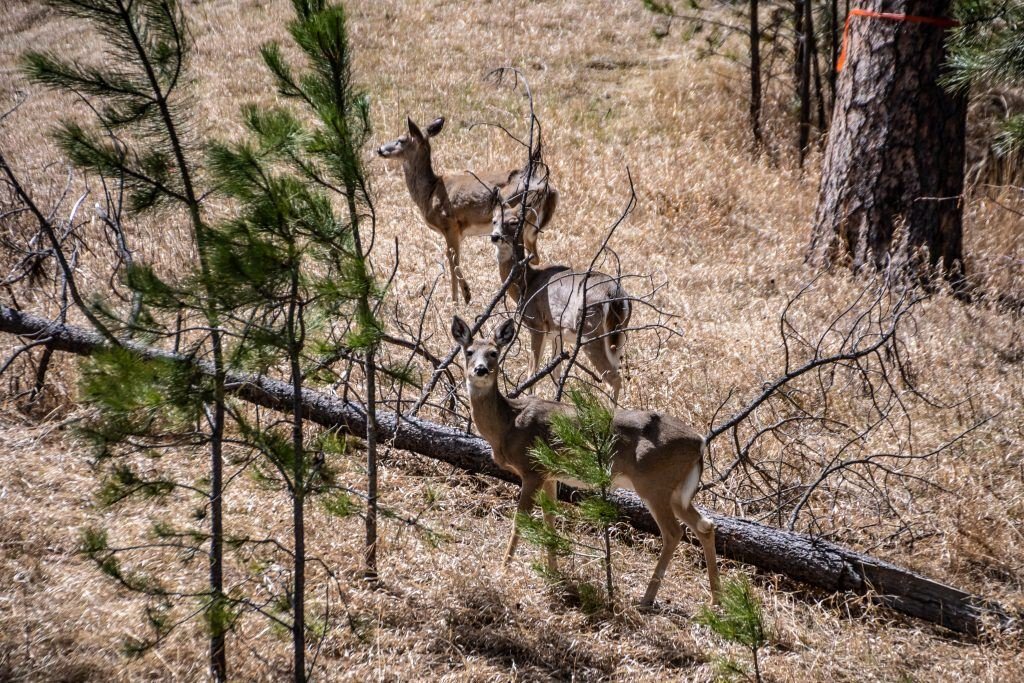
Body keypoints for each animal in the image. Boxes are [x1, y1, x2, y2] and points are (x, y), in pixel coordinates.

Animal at [377, 116, 559, 304]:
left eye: (401, 140)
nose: (380, 149)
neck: (430, 192)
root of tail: (548, 188)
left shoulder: (450, 224)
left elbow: (452, 258)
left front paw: (461, 297)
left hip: (517, 212)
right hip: (531, 230)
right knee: (535, 256)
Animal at [451, 315, 720, 607]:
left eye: (493, 353)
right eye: (468, 352)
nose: (480, 370)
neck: (508, 423)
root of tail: (700, 441)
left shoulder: (532, 470)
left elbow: (520, 520)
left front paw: (504, 568)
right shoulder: (549, 474)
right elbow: (550, 520)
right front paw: (554, 574)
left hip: (654, 483)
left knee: (673, 532)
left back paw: (646, 598)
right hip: (678, 490)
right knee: (705, 525)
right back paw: (715, 599)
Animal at [489, 202, 630, 403]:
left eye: (514, 222)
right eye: (494, 220)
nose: (495, 236)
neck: (528, 284)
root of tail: (615, 294)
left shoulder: (537, 325)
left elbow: (532, 373)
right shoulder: (557, 334)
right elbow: (555, 373)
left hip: (590, 331)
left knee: (612, 378)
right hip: (619, 336)